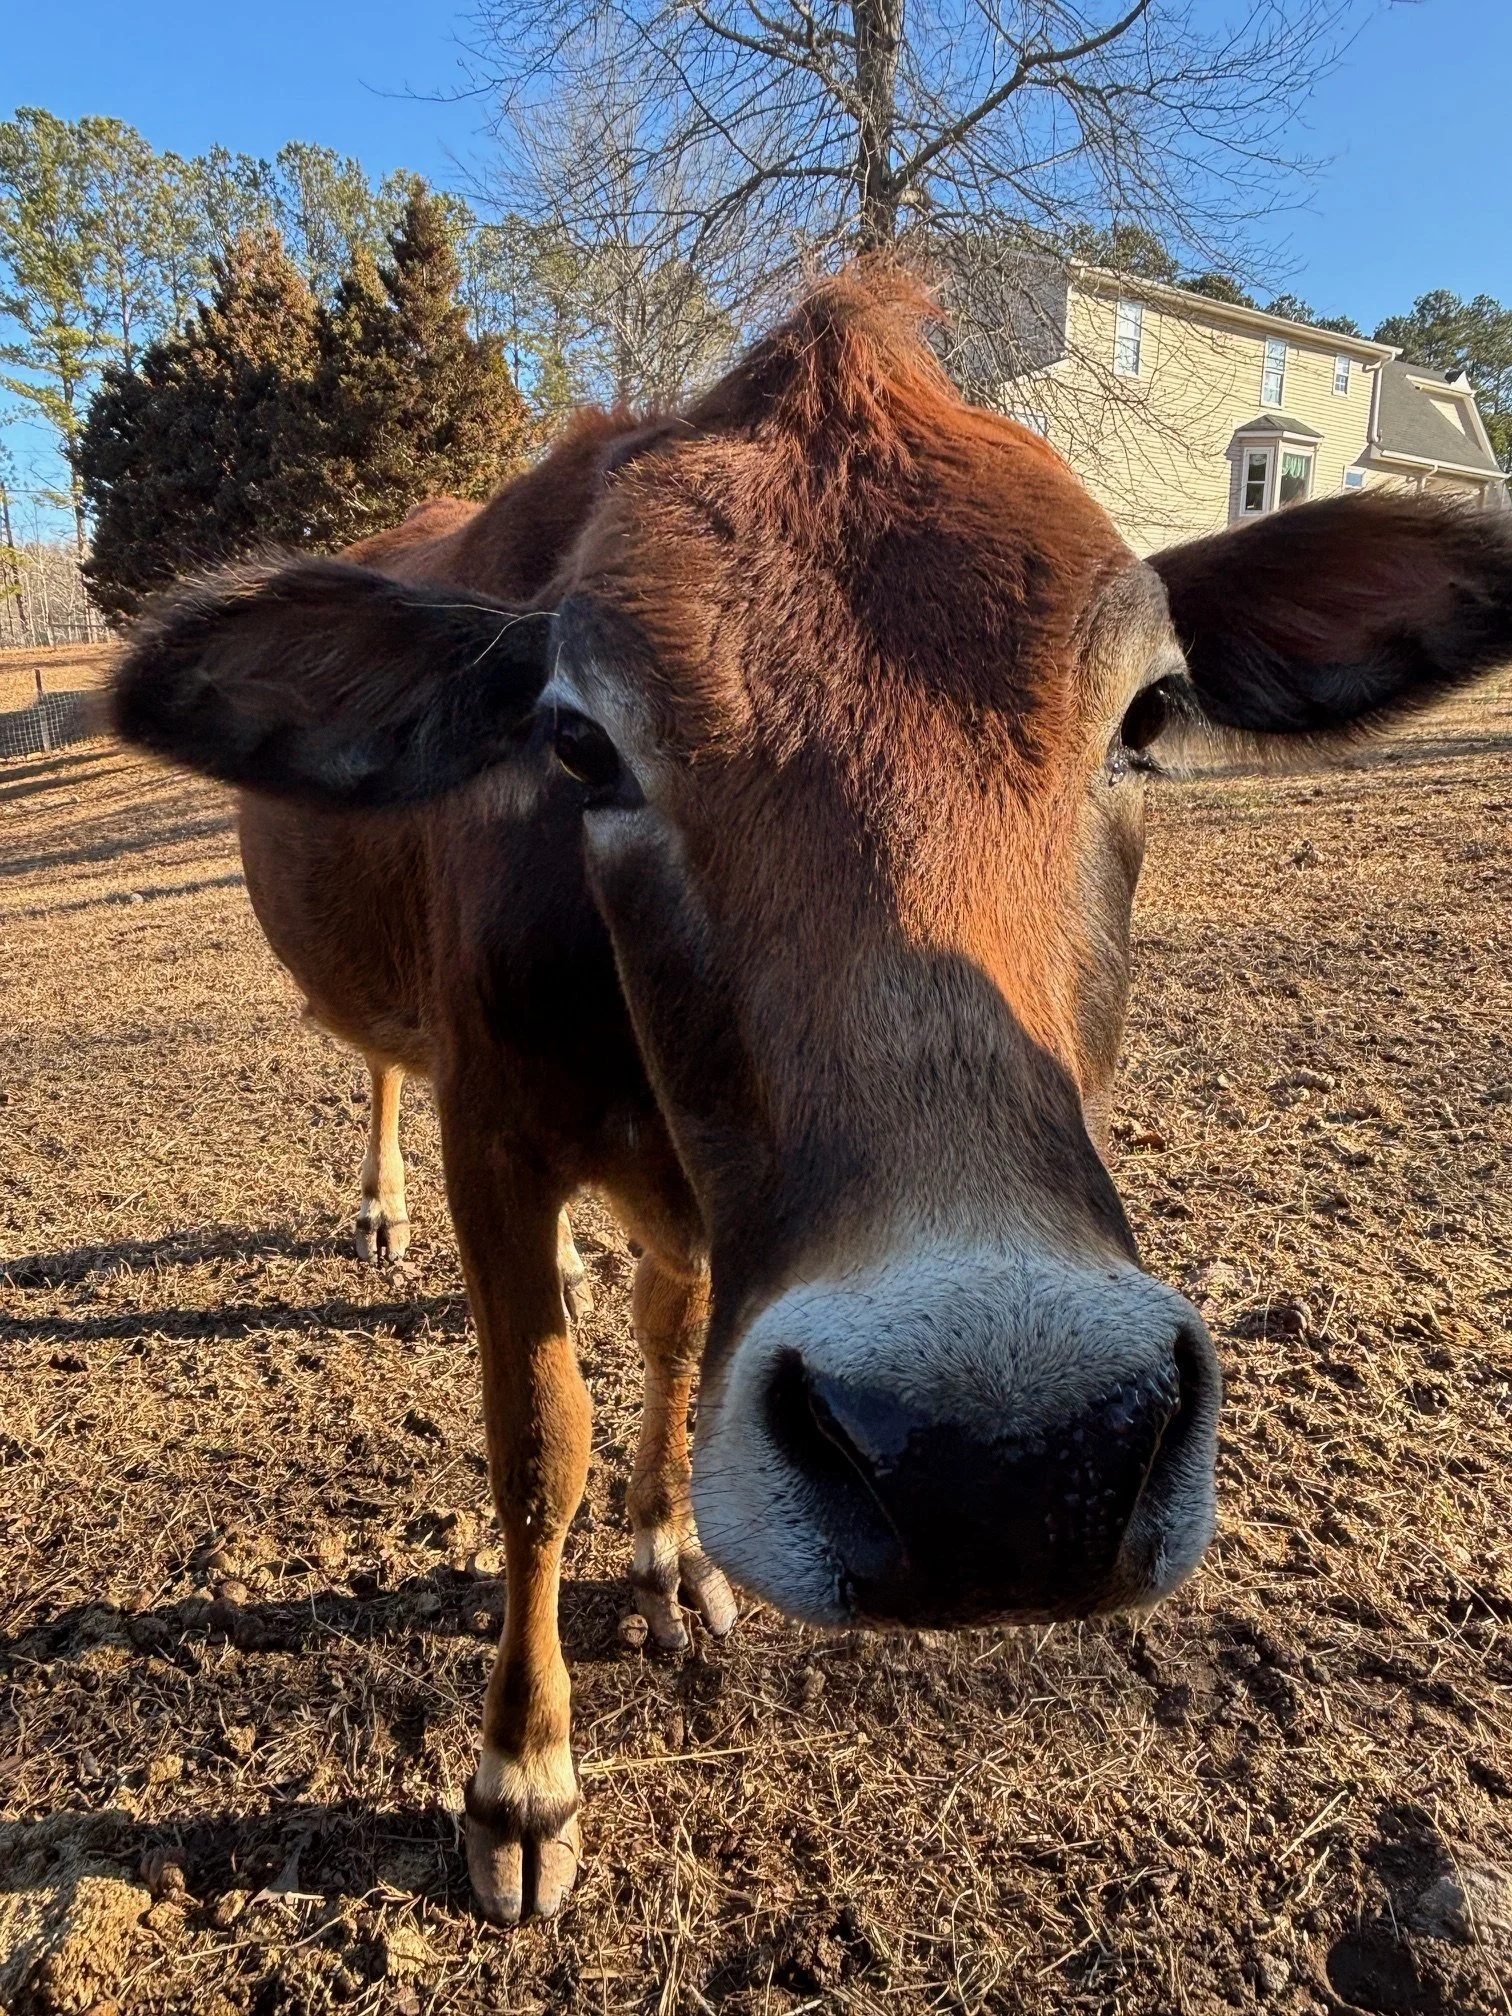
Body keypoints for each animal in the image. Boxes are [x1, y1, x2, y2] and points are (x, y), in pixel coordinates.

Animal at [112, 267, 1512, 1926]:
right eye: (576, 738)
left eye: (1150, 714)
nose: (1001, 1466)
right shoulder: (497, 1134)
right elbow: (537, 1443)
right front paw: (520, 1778)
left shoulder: (701, 1205)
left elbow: (668, 1338)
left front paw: (669, 1549)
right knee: (386, 1070)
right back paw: (381, 1216)